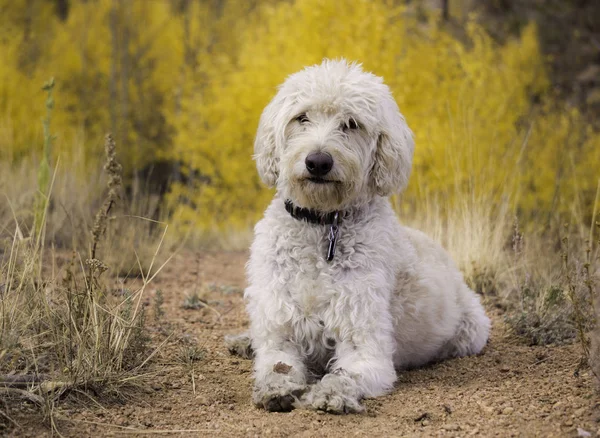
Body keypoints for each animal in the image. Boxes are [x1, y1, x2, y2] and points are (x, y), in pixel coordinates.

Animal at [227, 59, 490, 414]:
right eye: (302, 117)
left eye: (351, 124)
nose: (318, 161)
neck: (323, 224)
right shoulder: (279, 332)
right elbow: (276, 365)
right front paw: (276, 388)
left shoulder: (364, 344)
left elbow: (345, 374)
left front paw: (331, 393)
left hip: (472, 328)